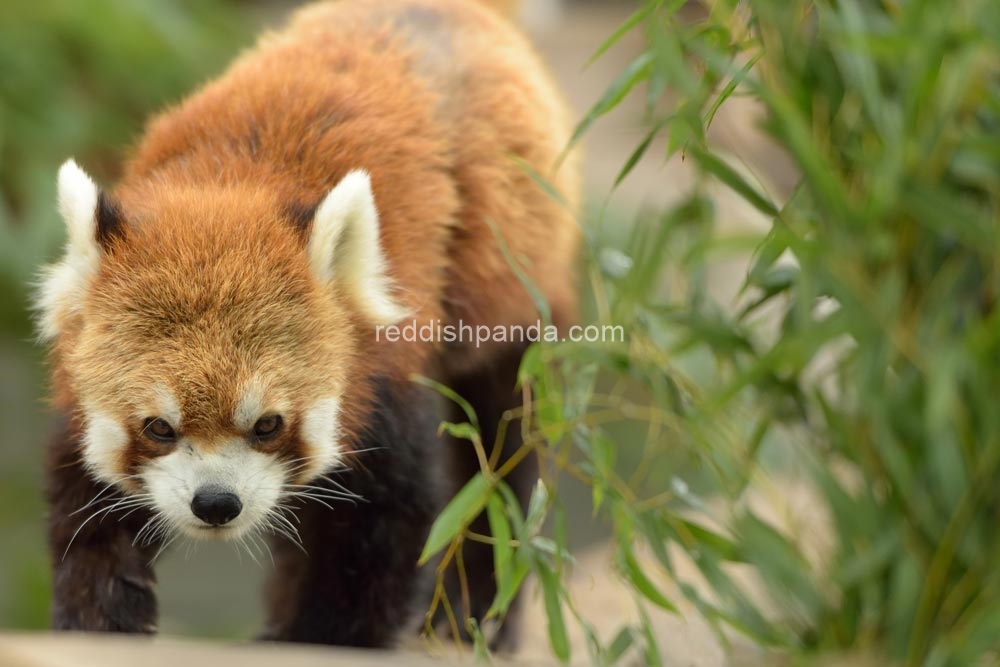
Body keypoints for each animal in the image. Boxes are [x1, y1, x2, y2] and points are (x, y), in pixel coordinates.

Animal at [37, 0, 580, 652]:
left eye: (268, 424)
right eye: (159, 427)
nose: (216, 503)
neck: (232, 180)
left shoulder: (385, 369)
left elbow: (385, 521)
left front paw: (321, 634)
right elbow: (87, 508)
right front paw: (99, 615)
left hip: (514, 282)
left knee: (499, 455)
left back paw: (476, 616)